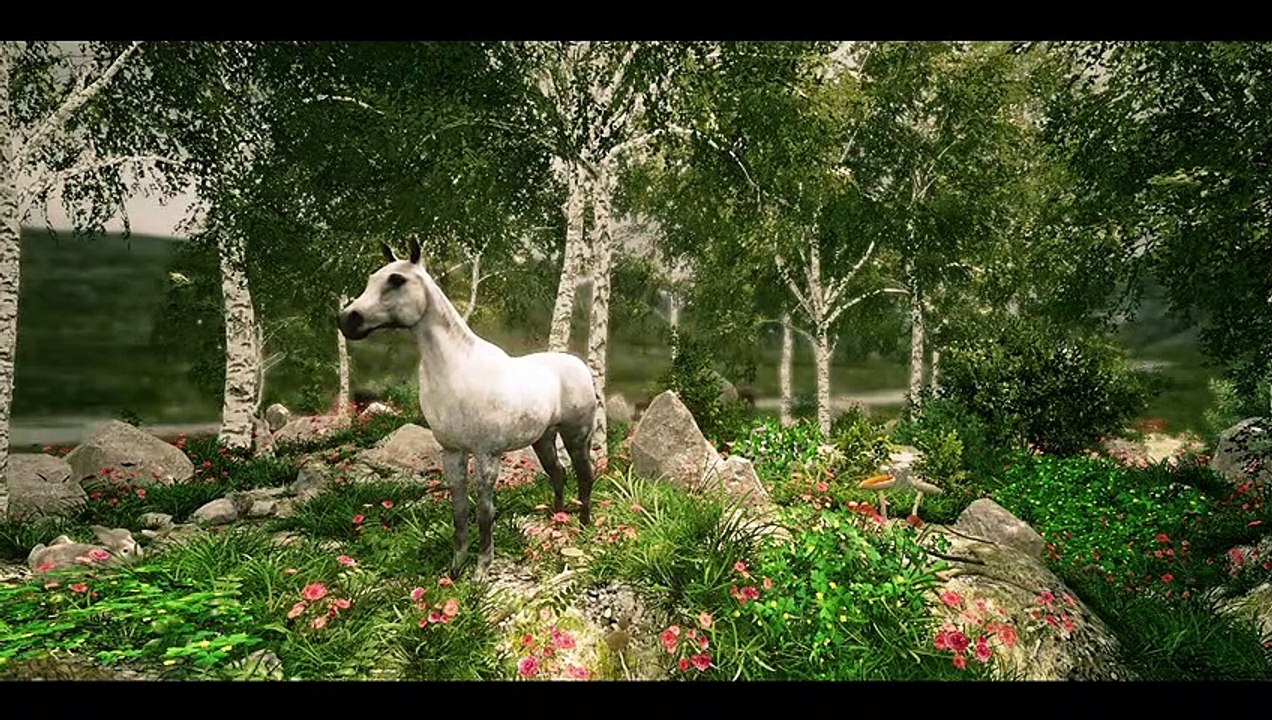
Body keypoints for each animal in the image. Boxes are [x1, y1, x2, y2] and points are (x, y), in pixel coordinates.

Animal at [337, 238, 600, 581]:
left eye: (396, 280)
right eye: (372, 278)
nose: (347, 320)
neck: (457, 369)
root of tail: (579, 365)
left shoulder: (487, 454)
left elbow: (485, 511)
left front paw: (481, 570)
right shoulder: (452, 453)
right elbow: (460, 510)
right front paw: (455, 568)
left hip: (576, 436)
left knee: (584, 475)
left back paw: (582, 528)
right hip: (543, 439)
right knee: (558, 474)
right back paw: (556, 524)